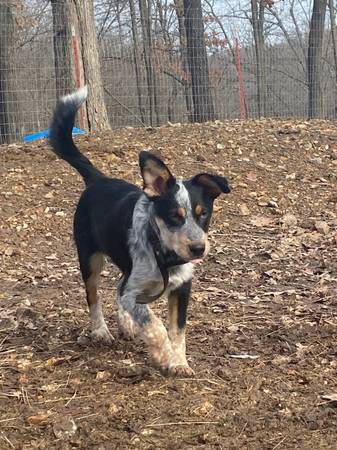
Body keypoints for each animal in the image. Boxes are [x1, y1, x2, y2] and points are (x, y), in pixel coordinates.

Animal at [48, 87, 230, 376]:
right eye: (174, 216)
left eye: (204, 214)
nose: (198, 249)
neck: (164, 255)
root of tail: (98, 179)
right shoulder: (136, 292)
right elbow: (155, 325)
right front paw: (162, 356)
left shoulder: (182, 288)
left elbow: (177, 330)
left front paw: (179, 362)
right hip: (89, 259)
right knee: (94, 296)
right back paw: (101, 330)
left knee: (118, 289)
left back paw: (126, 324)